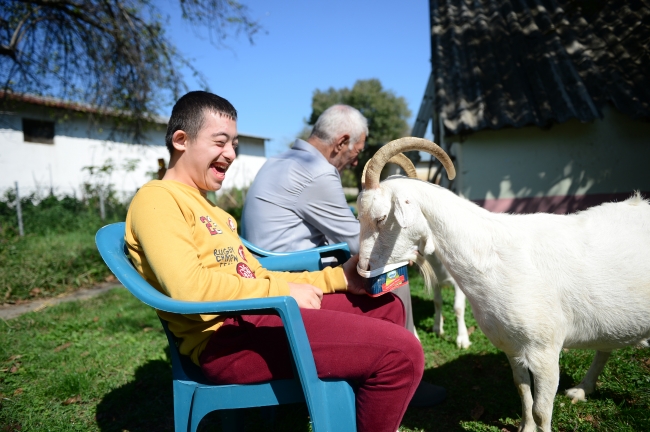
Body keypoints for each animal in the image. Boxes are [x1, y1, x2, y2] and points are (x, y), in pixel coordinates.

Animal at [356, 137, 650, 432]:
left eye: (381, 218)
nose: (362, 268)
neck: (493, 255)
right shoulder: (513, 348)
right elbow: (523, 393)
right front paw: (525, 427)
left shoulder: (545, 351)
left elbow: (542, 411)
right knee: (604, 347)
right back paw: (581, 390)